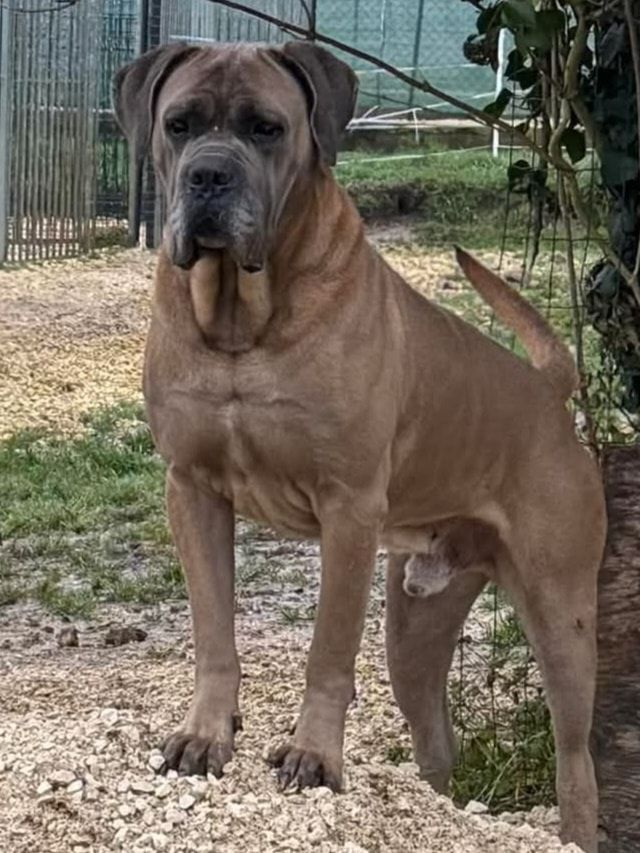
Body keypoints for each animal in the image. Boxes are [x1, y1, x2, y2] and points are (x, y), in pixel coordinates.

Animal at [114, 41, 606, 852]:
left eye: (267, 128)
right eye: (179, 125)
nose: (208, 176)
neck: (241, 320)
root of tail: (548, 392)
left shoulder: (346, 510)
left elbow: (329, 648)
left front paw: (314, 755)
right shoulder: (191, 487)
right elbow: (213, 630)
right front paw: (205, 735)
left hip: (561, 616)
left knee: (577, 758)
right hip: (416, 624)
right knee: (437, 739)